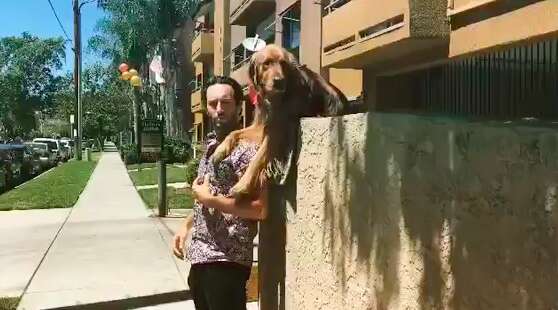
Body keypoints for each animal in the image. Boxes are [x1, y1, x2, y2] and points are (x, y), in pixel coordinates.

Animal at [213, 44, 350, 199]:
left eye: (283, 63)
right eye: (266, 63)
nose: (279, 81)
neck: (274, 98)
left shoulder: (277, 130)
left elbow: (257, 158)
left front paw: (243, 184)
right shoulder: (262, 125)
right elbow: (234, 132)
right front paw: (220, 150)